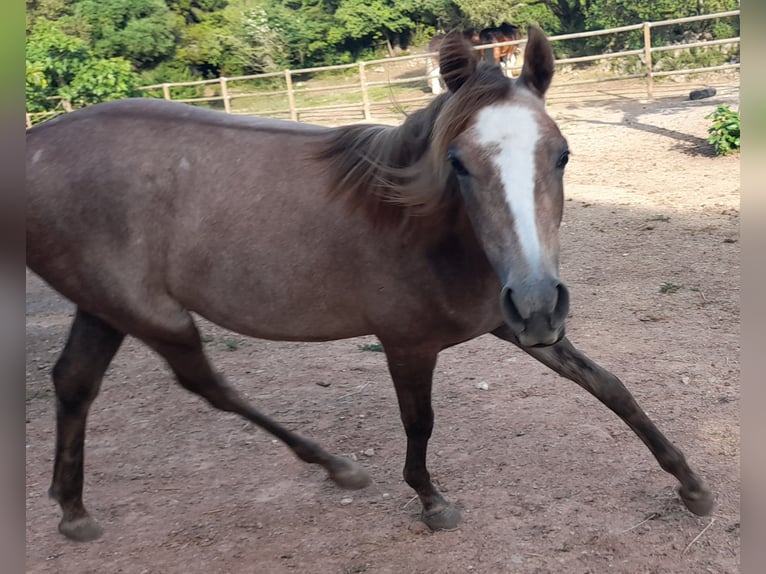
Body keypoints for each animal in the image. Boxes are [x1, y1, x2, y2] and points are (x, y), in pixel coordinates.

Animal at [27, 27, 716, 544]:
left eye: (562, 154)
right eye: (459, 163)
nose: (540, 302)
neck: (421, 228)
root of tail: (30, 145)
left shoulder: (508, 323)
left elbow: (609, 387)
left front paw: (693, 487)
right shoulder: (407, 344)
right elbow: (420, 422)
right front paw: (433, 502)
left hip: (104, 309)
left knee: (75, 382)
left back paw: (73, 511)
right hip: (151, 314)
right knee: (206, 384)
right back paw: (338, 468)